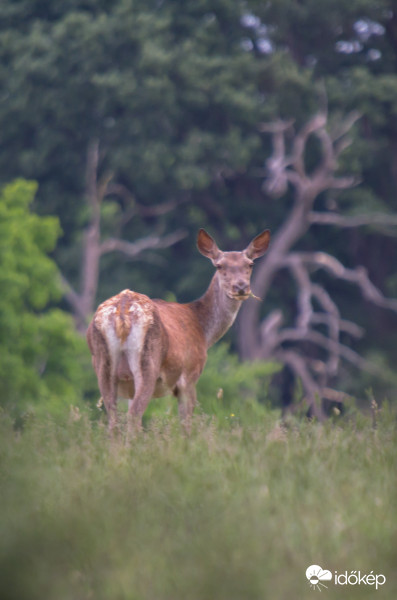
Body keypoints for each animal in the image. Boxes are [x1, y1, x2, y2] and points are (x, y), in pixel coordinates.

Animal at [87, 229, 270, 432]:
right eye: (219, 265)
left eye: (250, 264)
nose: (241, 287)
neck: (204, 332)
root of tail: (122, 313)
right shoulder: (190, 374)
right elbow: (186, 425)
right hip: (148, 364)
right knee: (134, 416)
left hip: (102, 365)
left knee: (114, 420)